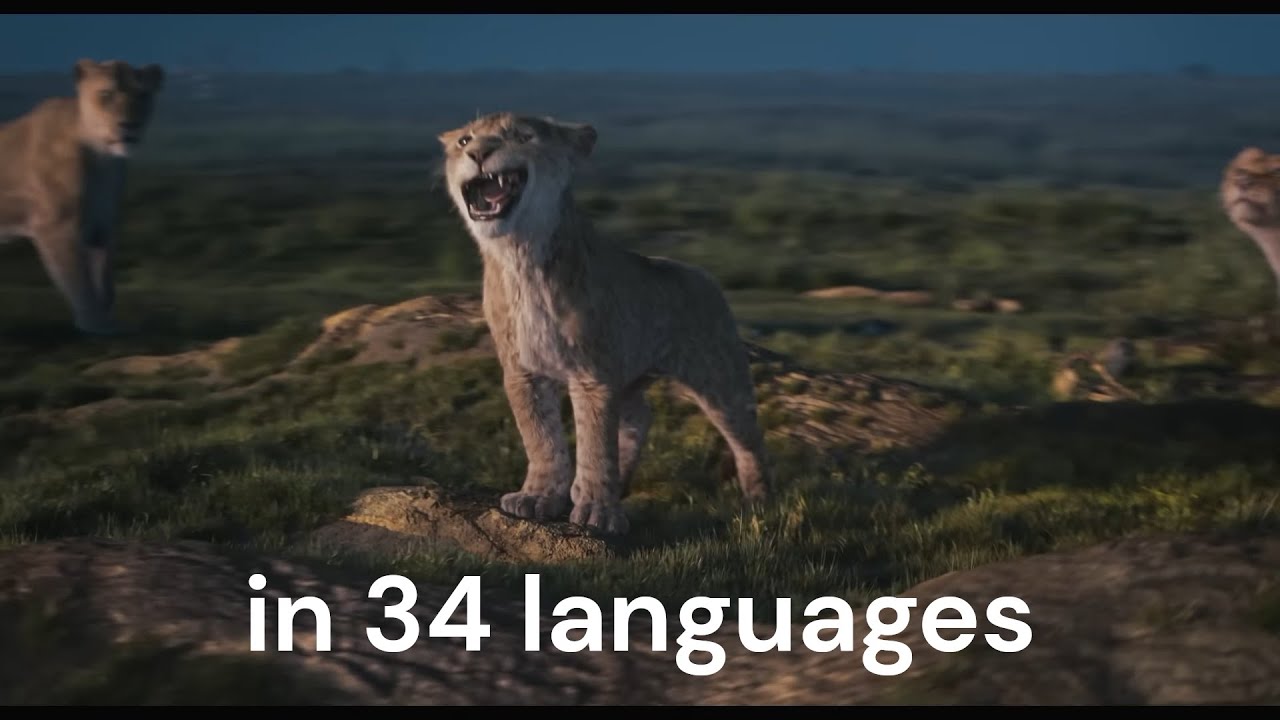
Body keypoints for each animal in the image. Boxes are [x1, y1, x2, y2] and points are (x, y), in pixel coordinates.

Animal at [0, 58, 165, 335]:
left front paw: (108, 319)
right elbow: (79, 281)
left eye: (142, 94)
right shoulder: (57, 226)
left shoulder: (102, 225)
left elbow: (104, 278)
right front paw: (95, 325)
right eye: (106, 94)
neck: (104, 158)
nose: (130, 125)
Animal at [437, 112, 771, 535]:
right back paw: (621, 482)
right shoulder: (524, 372)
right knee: (638, 417)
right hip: (630, 375)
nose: (479, 153)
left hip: (718, 376)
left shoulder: (593, 372)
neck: (520, 257)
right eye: (464, 140)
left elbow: (595, 443)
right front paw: (538, 496)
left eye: (523, 137)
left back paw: (760, 501)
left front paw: (598, 511)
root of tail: (703, 275)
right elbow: (541, 439)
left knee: (746, 435)